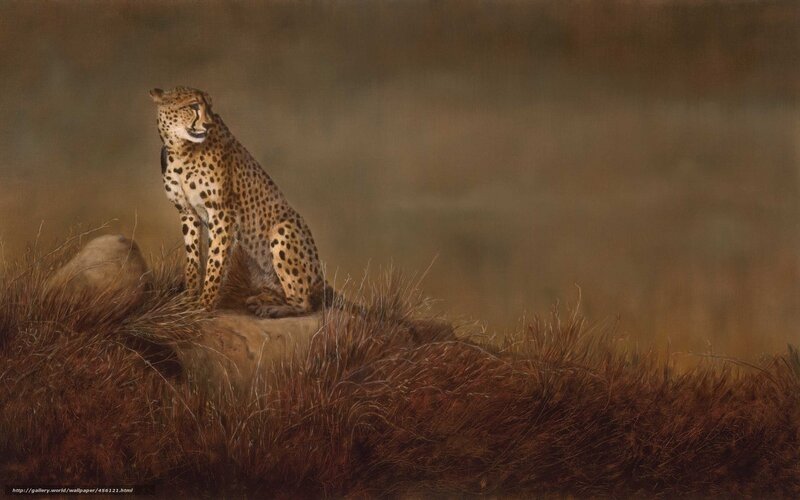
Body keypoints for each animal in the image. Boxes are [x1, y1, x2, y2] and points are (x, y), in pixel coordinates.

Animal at [150, 86, 327, 318]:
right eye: (194, 105)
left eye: (209, 106)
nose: (208, 124)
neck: (181, 149)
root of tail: (320, 280)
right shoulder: (188, 212)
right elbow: (193, 259)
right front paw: (188, 299)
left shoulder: (222, 213)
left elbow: (215, 262)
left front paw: (203, 305)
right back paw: (260, 298)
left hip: (283, 230)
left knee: (303, 302)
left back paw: (272, 308)